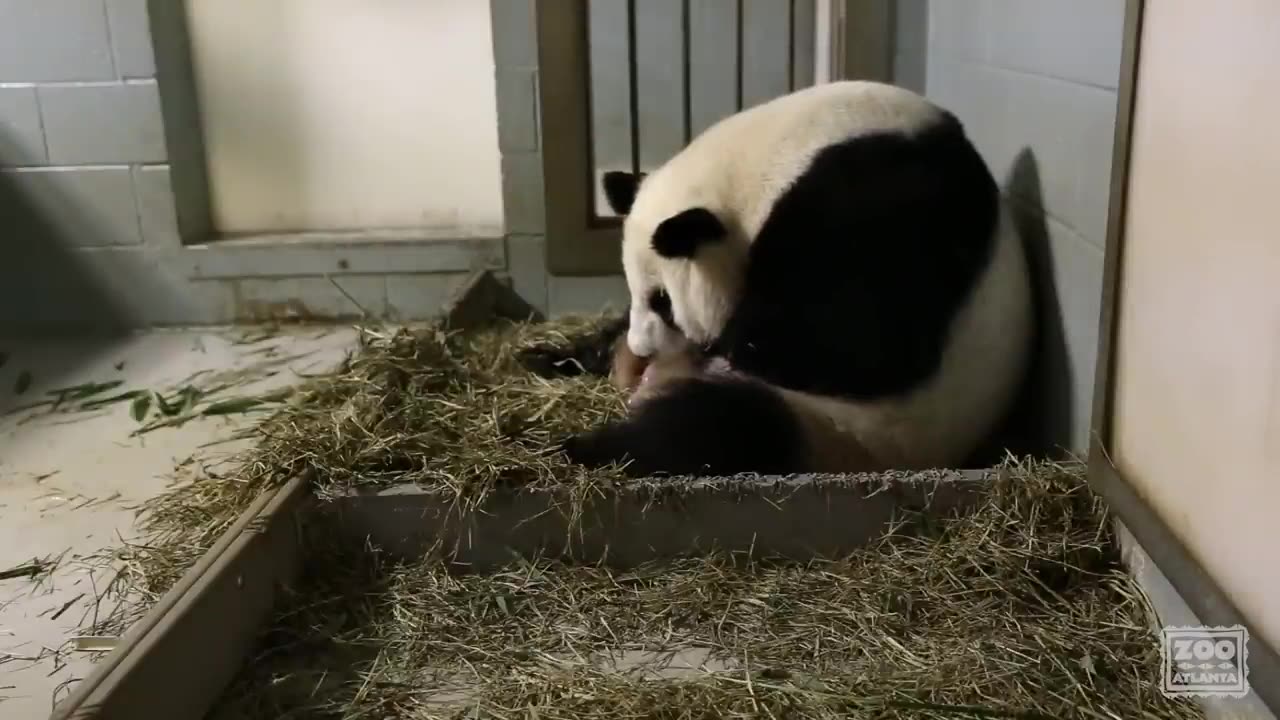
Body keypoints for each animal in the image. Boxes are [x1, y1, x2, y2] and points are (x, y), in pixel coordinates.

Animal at [563, 79, 1039, 476]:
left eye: (663, 301)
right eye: (636, 292)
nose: (642, 351)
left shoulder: (881, 209)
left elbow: (857, 341)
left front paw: (730, 344)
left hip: (853, 429)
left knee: (722, 426)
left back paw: (590, 447)